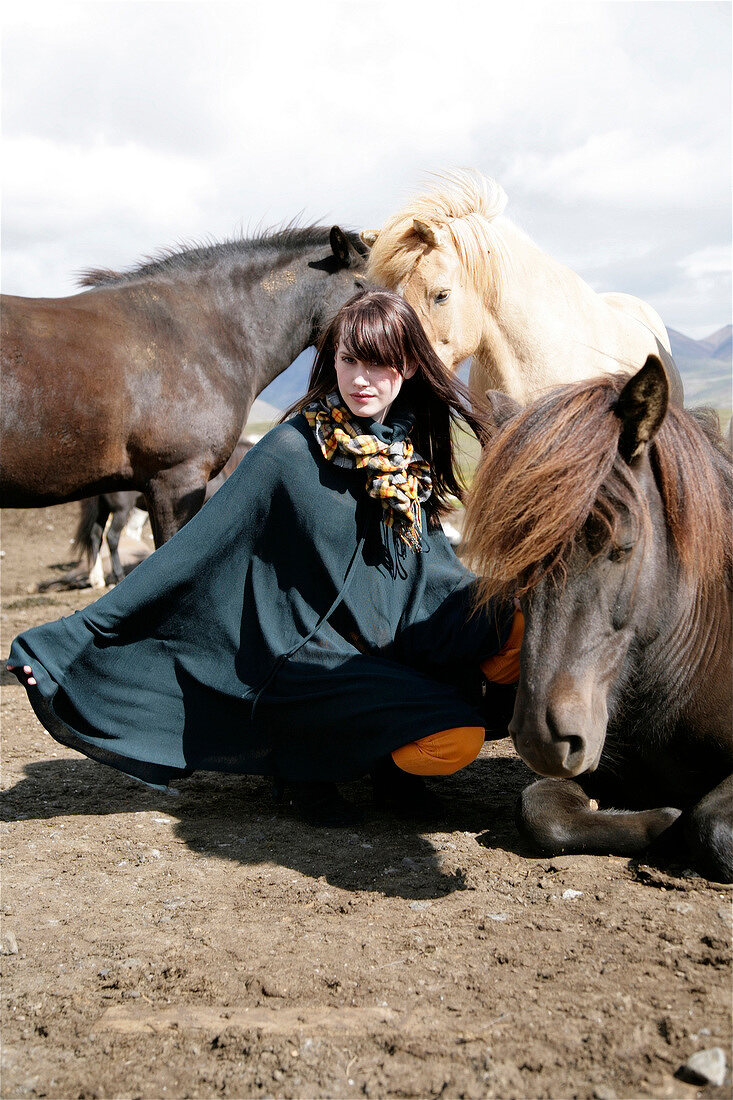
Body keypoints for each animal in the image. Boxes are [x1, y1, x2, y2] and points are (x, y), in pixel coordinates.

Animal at [464, 360, 726, 884]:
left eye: (623, 545)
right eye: (519, 555)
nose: (542, 741)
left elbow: (710, 824)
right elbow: (538, 811)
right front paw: (664, 821)